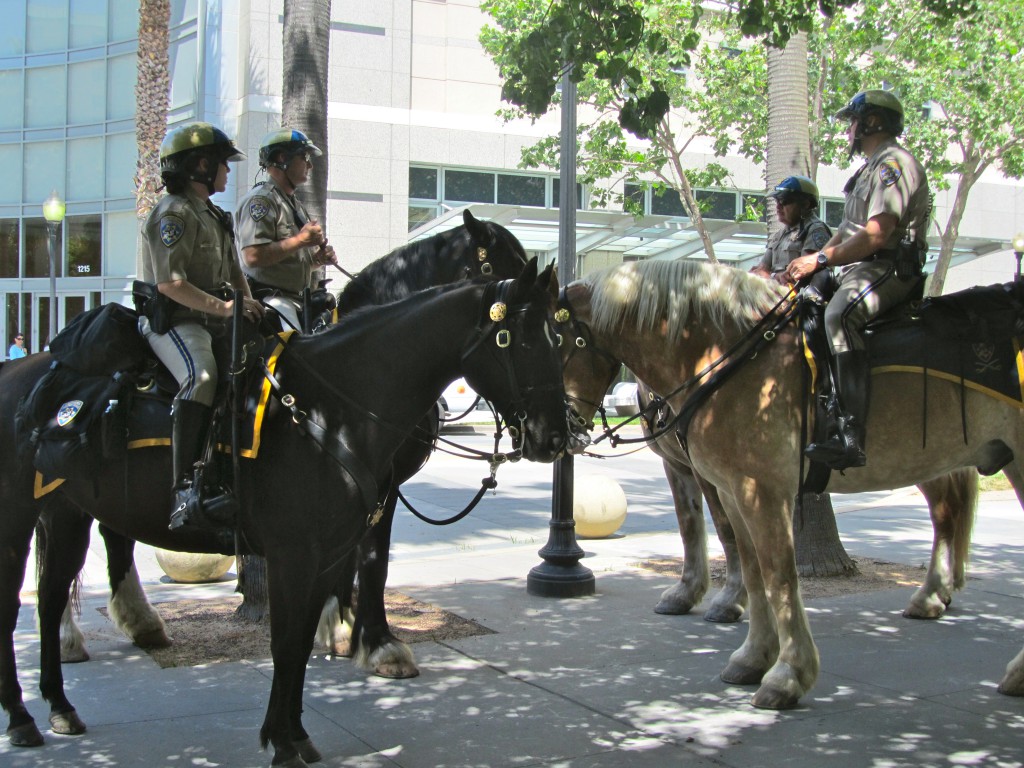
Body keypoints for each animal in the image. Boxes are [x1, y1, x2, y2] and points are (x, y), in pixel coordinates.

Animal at [0, 262, 569, 765]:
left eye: (557, 338)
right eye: (518, 340)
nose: (557, 437)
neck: (332, 411)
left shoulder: (325, 553)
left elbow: (300, 643)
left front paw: (294, 733)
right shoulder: (292, 555)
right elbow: (284, 642)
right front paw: (282, 739)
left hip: (66, 514)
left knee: (49, 600)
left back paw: (59, 705)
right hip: (17, 519)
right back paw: (23, 716)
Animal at [65, 207, 532, 675]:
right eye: (505, 269)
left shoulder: (367, 485)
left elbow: (355, 556)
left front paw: (341, 627)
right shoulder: (377, 482)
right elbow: (372, 560)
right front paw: (374, 641)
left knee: (113, 529)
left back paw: (139, 622)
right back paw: (73, 636)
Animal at [561, 262, 1024, 712]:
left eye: (554, 343)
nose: (558, 430)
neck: (722, 355)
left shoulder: (758, 489)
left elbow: (776, 573)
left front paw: (786, 673)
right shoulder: (722, 484)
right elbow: (735, 556)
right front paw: (749, 653)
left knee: (947, 510)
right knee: (949, 510)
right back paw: (939, 599)